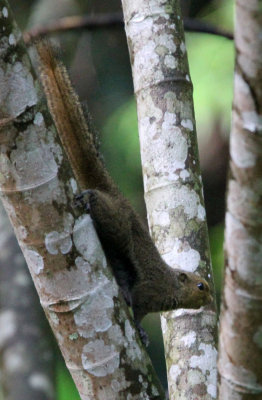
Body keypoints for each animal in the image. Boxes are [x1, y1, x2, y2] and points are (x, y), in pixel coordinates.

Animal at [34, 42, 212, 346]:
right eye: (201, 285)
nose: (211, 300)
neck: (171, 287)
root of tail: (116, 196)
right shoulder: (148, 291)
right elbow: (137, 308)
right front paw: (141, 330)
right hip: (116, 222)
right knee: (103, 211)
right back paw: (89, 198)